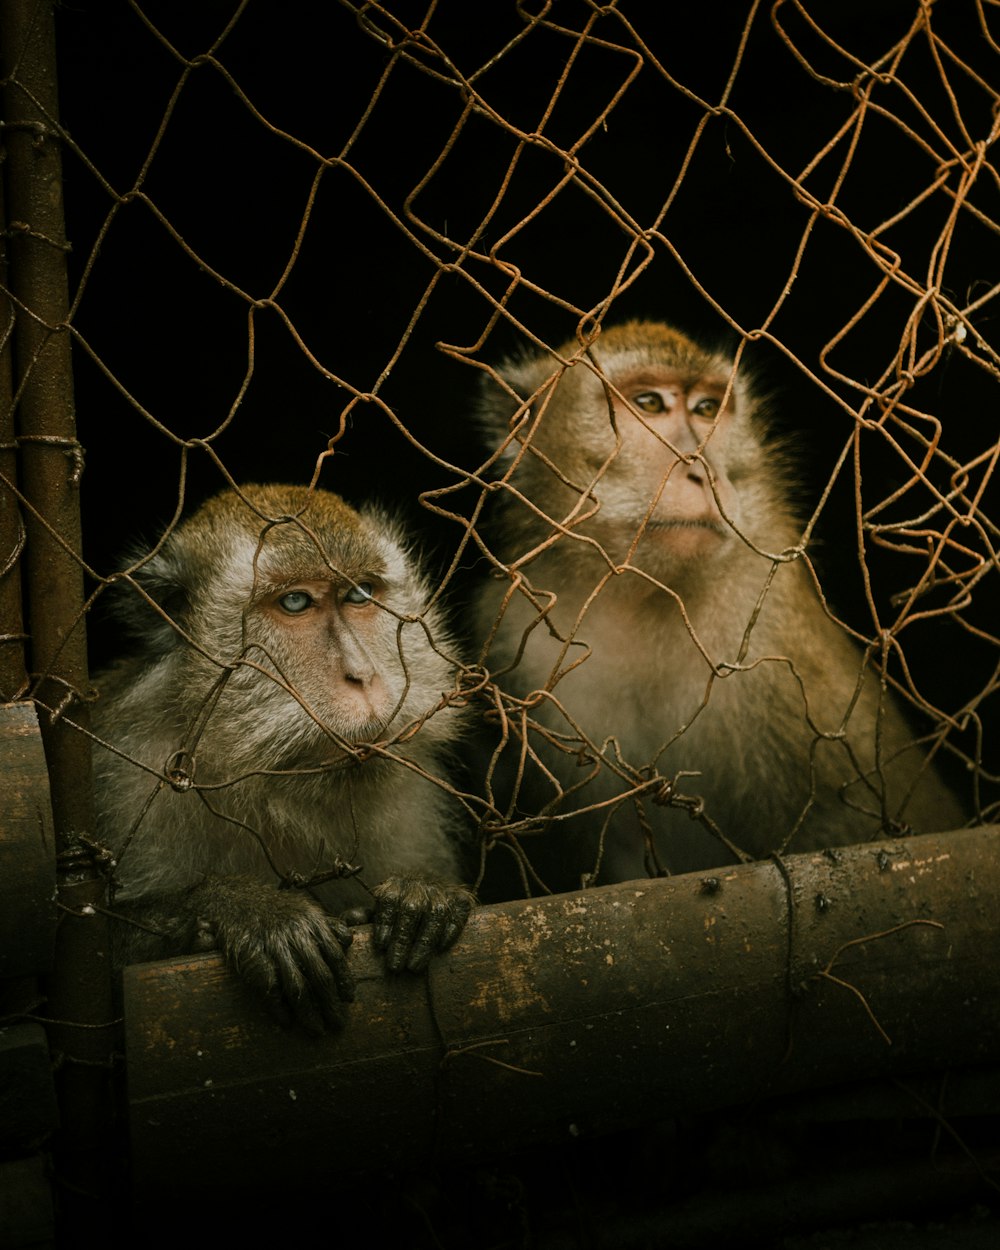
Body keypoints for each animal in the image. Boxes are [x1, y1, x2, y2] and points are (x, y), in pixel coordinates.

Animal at [91, 482, 475, 1030]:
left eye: (360, 594)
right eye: (295, 601)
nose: (362, 675)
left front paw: (420, 896)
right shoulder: (123, 773)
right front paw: (247, 909)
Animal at [477, 317, 970, 895]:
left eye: (707, 408)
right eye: (649, 403)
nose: (702, 470)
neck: (637, 595)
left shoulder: (771, 622)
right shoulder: (513, 628)